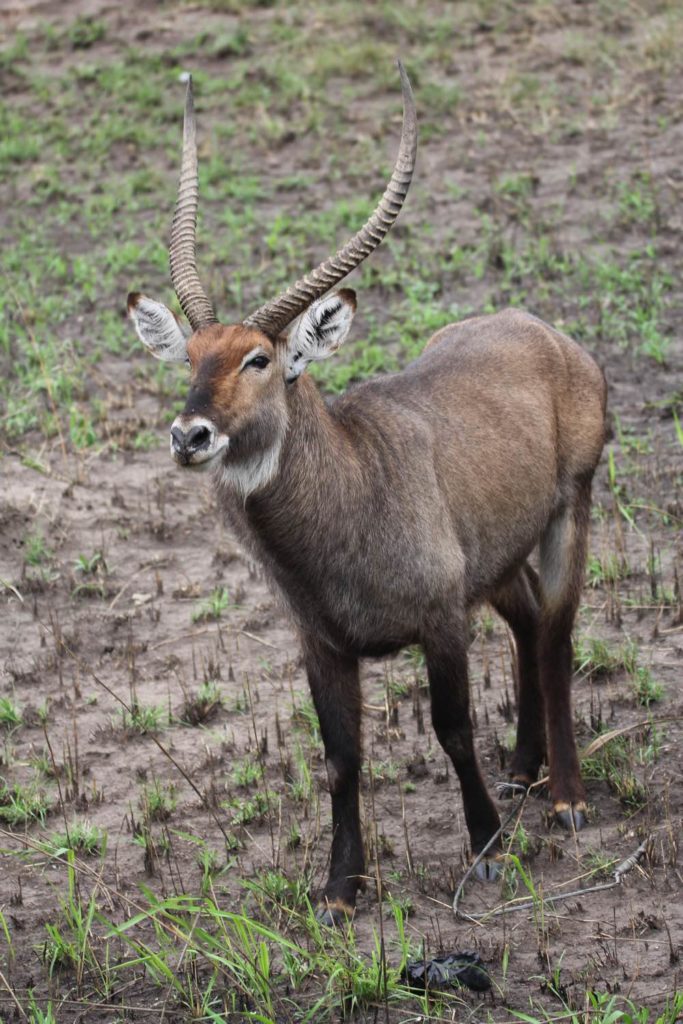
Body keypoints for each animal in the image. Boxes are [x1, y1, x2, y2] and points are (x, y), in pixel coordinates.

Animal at [129, 66, 610, 929]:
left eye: (258, 359)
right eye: (190, 356)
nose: (190, 435)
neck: (351, 483)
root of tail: (540, 329)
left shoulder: (440, 620)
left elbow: (451, 729)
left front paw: (487, 852)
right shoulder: (321, 644)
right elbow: (340, 756)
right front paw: (338, 888)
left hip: (569, 510)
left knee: (555, 634)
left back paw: (564, 800)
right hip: (493, 558)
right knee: (526, 619)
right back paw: (522, 771)